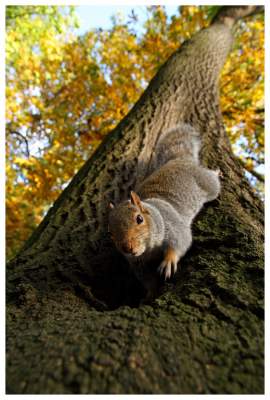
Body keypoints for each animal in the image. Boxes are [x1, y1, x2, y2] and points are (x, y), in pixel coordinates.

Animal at [108, 122, 221, 284]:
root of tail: (178, 159)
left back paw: (217, 172)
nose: (127, 248)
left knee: (213, 180)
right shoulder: (138, 264)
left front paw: (168, 261)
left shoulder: (173, 226)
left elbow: (181, 242)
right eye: (110, 233)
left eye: (139, 219)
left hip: (208, 183)